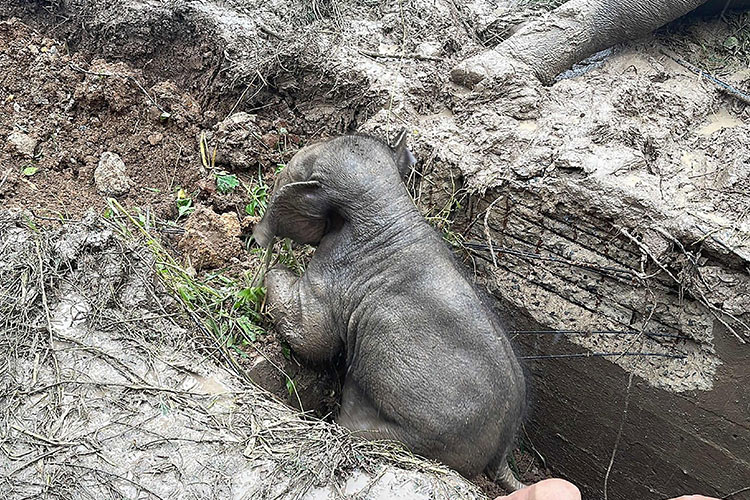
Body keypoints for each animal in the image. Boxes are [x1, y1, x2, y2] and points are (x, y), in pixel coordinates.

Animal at [253, 131, 528, 490]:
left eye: (290, 172)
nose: (255, 239)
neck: (387, 203)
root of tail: (502, 454)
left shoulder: (335, 276)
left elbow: (312, 337)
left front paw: (266, 273)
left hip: (420, 438)